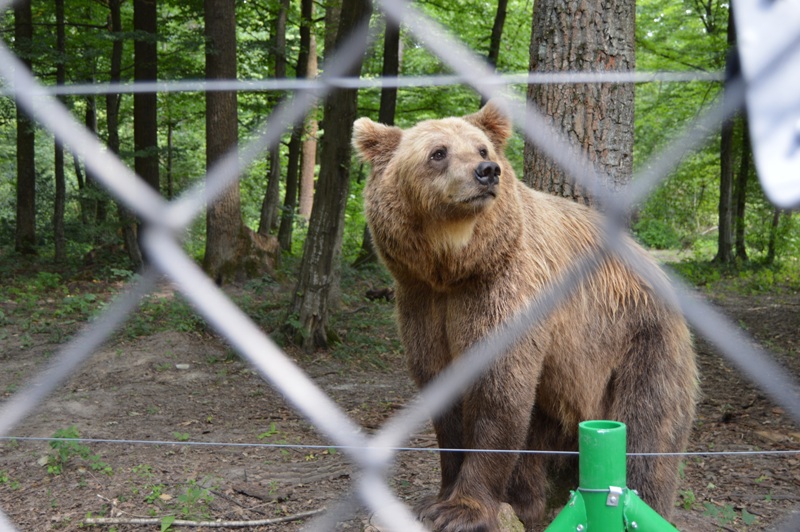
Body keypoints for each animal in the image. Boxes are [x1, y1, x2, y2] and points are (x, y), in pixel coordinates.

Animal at [354, 103, 696, 532]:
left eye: (482, 149)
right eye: (438, 152)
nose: (487, 171)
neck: (454, 267)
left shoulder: (505, 294)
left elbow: (498, 394)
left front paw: (462, 509)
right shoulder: (424, 304)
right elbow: (444, 392)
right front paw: (436, 498)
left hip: (640, 341)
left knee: (648, 433)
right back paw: (527, 502)